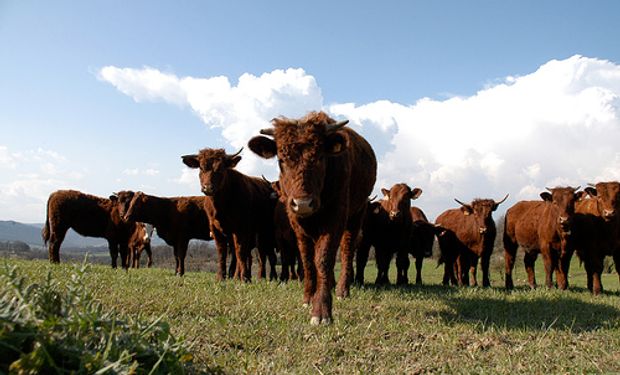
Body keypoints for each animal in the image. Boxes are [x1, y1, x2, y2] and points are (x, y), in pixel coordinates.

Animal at [179, 148, 276, 284]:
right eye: (201, 167)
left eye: (221, 168)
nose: (207, 187)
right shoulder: (215, 229)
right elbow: (222, 253)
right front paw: (221, 277)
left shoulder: (240, 228)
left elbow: (240, 251)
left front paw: (242, 278)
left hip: (262, 232)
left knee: (260, 255)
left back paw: (258, 277)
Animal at [248, 111, 376, 326]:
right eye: (281, 159)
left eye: (320, 157)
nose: (303, 203)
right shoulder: (297, 224)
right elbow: (307, 260)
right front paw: (308, 297)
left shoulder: (335, 218)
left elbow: (323, 259)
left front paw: (321, 310)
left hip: (357, 214)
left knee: (347, 251)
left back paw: (342, 290)